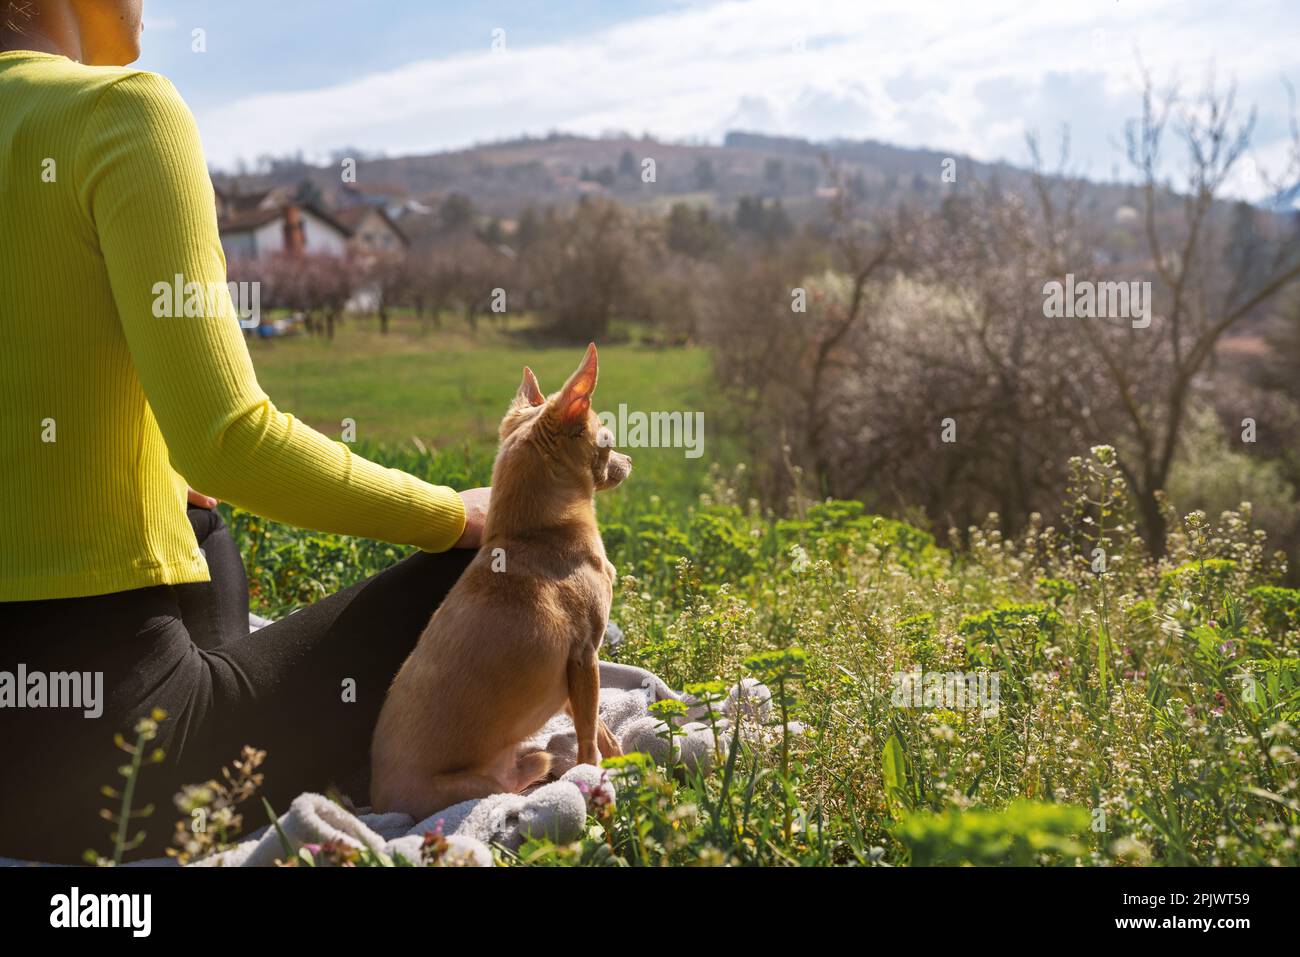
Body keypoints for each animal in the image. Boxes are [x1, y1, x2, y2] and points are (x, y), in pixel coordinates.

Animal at [369, 343, 631, 816]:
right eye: (608, 441)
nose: (630, 460)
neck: (531, 532)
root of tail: (378, 804)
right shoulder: (584, 656)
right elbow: (588, 737)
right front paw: (598, 780)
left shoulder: (576, 674)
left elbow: (595, 721)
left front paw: (622, 756)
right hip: (479, 788)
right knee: (511, 787)